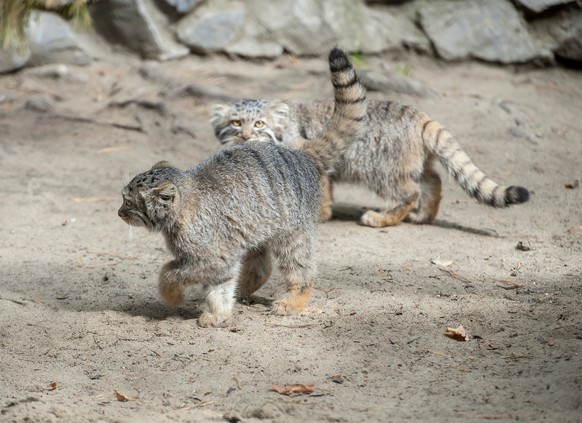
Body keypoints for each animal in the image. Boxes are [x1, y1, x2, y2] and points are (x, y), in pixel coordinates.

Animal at [117, 48, 370, 328]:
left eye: (129, 203)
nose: (119, 213)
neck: (183, 209)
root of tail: (299, 154)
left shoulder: (211, 257)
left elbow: (169, 271)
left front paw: (173, 296)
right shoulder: (223, 257)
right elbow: (219, 286)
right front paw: (219, 315)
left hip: (292, 234)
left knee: (302, 270)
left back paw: (293, 302)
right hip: (255, 229)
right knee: (261, 268)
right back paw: (243, 293)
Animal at [212, 94, 532, 227]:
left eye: (260, 125)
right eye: (236, 123)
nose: (244, 137)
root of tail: (419, 114)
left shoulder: (311, 161)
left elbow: (320, 193)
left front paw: (319, 215)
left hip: (382, 171)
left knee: (411, 192)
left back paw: (381, 218)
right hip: (412, 164)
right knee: (434, 180)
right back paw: (424, 216)